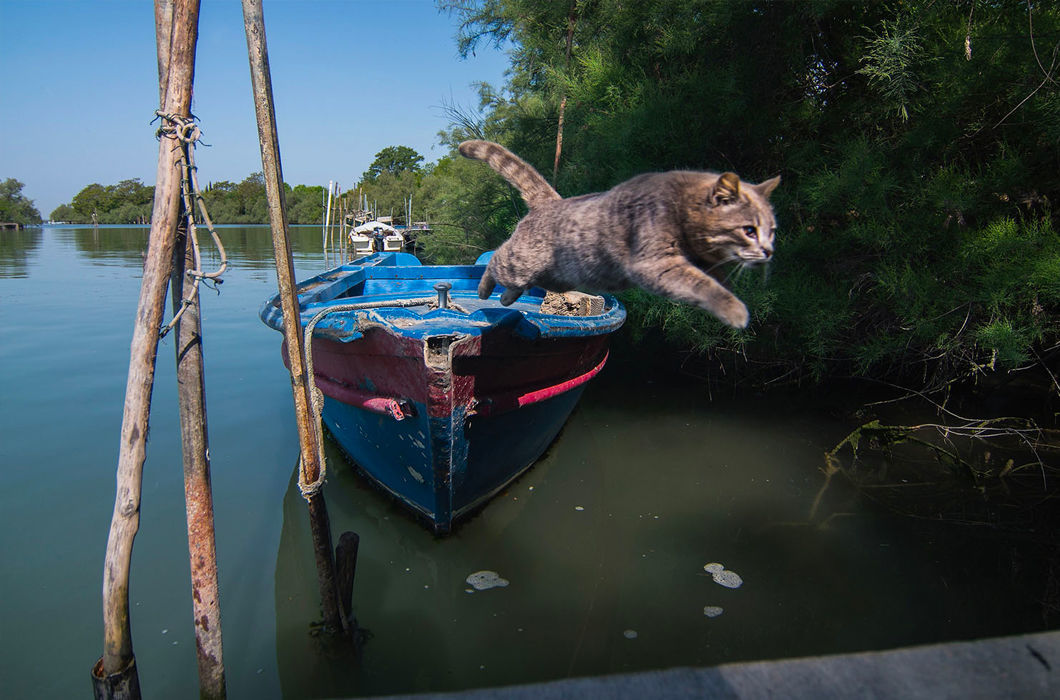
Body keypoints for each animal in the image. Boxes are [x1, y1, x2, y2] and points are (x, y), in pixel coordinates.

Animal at [457, 141, 780, 330]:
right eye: (749, 230)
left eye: (772, 231)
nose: (768, 251)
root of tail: (552, 201)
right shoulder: (656, 264)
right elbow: (702, 285)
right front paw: (735, 310)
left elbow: (716, 279)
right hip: (521, 261)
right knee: (497, 259)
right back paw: (485, 292)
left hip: (556, 276)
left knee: (519, 282)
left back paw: (506, 299)